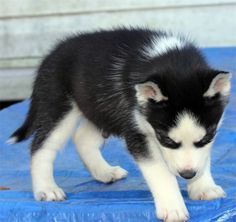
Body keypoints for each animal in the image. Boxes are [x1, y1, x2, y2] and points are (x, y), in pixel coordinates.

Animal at [8, 28, 230, 222]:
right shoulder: (136, 131)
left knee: (81, 138)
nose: (187, 174)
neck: (171, 59)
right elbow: (160, 172)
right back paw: (46, 188)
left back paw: (104, 172)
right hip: (59, 107)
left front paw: (203, 186)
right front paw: (172, 206)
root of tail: (49, 56)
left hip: (100, 108)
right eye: (166, 140)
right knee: (42, 148)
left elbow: (204, 157)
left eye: (206, 138)